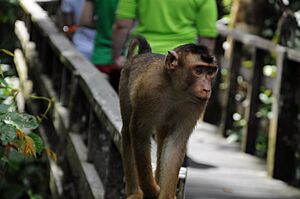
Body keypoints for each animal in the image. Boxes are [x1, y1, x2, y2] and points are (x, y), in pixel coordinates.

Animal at [118, 35, 219, 198]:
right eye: (198, 70)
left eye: (210, 72)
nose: (206, 89)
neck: (176, 89)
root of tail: (144, 53)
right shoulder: (149, 91)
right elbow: (140, 133)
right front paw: (151, 189)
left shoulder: (198, 104)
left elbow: (175, 144)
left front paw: (166, 195)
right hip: (124, 82)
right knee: (127, 130)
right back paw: (135, 192)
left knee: (162, 136)